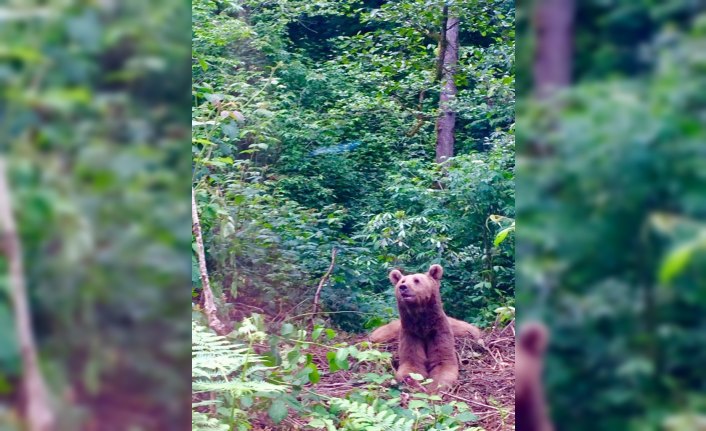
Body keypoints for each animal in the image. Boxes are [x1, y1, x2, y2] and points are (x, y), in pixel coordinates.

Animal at [382, 264, 460, 394]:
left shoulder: (438, 331)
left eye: (416, 280)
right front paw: (413, 383)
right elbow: (412, 363)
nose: (403, 287)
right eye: (402, 281)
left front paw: (435, 387)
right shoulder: (411, 332)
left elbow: (443, 361)